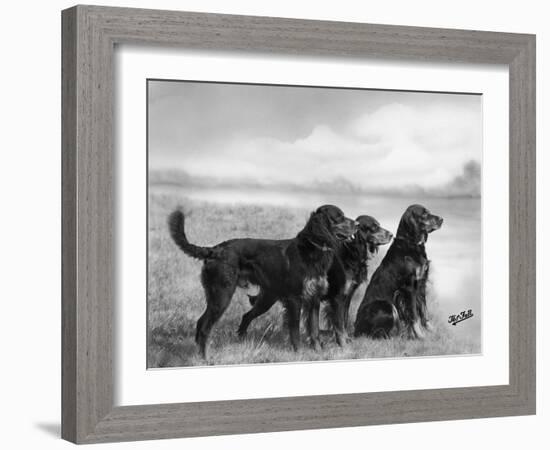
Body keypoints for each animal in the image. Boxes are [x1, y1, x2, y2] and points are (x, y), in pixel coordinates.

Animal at [169, 206, 358, 356]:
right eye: (339, 217)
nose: (356, 224)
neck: (311, 251)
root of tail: (214, 250)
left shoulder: (314, 299)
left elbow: (315, 329)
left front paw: (318, 352)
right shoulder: (295, 299)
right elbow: (295, 330)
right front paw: (298, 353)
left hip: (263, 298)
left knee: (230, 318)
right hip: (222, 295)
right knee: (205, 326)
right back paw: (204, 357)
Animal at [239, 214, 394, 344]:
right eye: (374, 227)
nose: (392, 235)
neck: (350, 253)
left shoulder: (347, 296)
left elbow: (343, 319)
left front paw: (345, 339)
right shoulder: (338, 297)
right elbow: (339, 322)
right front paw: (342, 342)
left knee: (249, 315)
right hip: (269, 297)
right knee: (249, 316)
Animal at [356, 206, 446, 340]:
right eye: (424, 214)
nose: (441, 219)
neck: (411, 244)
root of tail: (356, 329)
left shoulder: (421, 284)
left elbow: (424, 311)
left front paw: (431, 331)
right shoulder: (409, 287)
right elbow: (414, 315)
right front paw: (420, 336)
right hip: (387, 305)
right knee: (377, 334)